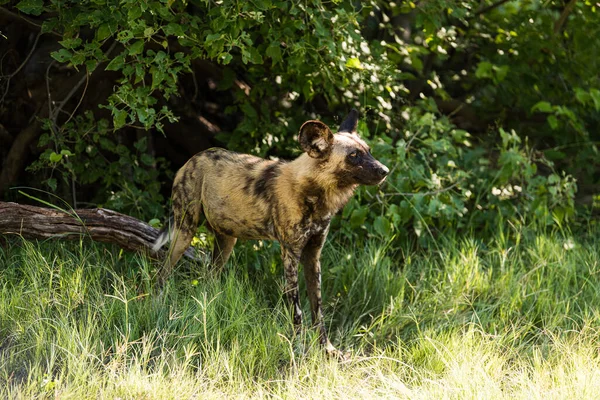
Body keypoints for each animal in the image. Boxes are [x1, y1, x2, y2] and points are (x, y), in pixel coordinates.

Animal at [155, 108, 390, 354]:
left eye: (369, 151)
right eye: (354, 156)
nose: (385, 171)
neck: (316, 194)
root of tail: (194, 158)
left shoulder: (313, 257)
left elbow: (318, 311)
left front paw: (327, 350)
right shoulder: (291, 255)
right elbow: (298, 312)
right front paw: (299, 349)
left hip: (227, 242)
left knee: (208, 279)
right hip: (184, 232)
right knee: (162, 273)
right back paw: (158, 306)